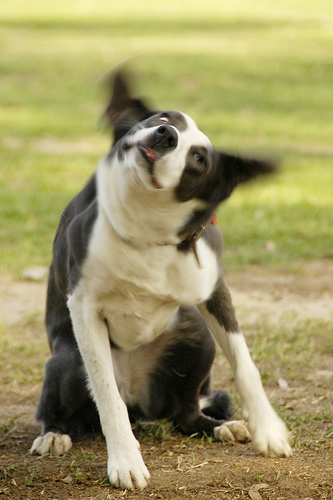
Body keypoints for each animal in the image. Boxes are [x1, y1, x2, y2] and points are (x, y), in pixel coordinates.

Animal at [31, 73, 290, 488]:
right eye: (164, 118)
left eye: (198, 158)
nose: (165, 135)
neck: (145, 224)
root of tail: (141, 401)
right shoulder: (84, 308)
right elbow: (106, 394)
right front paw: (125, 461)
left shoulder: (215, 292)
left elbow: (245, 363)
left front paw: (268, 430)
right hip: (68, 360)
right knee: (70, 410)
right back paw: (55, 434)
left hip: (196, 336)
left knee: (185, 413)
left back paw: (219, 426)